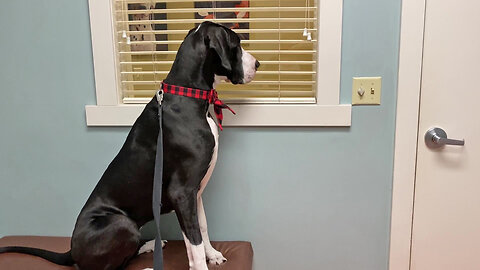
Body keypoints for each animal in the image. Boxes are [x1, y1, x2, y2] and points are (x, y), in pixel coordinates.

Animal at [0, 21, 258, 270]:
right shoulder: (182, 192)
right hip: (121, 222)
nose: (257, 64)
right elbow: (193, 242)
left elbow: (202, 227)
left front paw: (212, 254)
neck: (188, 94)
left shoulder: (195, 191)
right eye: (236, 44)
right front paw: (202, 262)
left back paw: (150, 246)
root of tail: (71, 251)